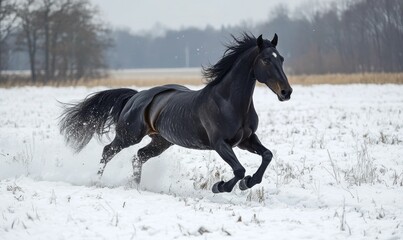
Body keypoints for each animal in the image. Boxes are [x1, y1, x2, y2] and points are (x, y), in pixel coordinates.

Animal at [59, 33, 294, 193]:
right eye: (266, 60)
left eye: (281, 58)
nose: (286, 92)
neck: (228, 102)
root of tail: (136, 97)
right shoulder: (220, 143)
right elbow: (238, 170)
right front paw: (220, 186)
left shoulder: (246, 140)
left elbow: (267, 155)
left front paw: (249, 183)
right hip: (129, 135)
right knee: (108, 150)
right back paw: (97, 181)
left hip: (161, 141)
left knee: (139, 156)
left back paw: (135, 185)